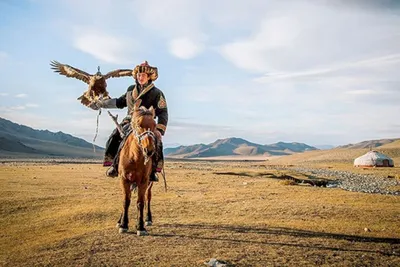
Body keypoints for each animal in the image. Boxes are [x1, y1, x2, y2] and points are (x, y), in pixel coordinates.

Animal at [115, 105, 156, 236]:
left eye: (154, 125)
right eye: (138, 124)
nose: (149, 150)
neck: (135, 157)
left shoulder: (143, 180)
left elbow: (140, 202)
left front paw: (140, 226)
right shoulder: (124, 178)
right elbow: (126, 201)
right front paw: (123, 224)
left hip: (149, 182)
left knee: (148, 197)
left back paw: (148, 219)